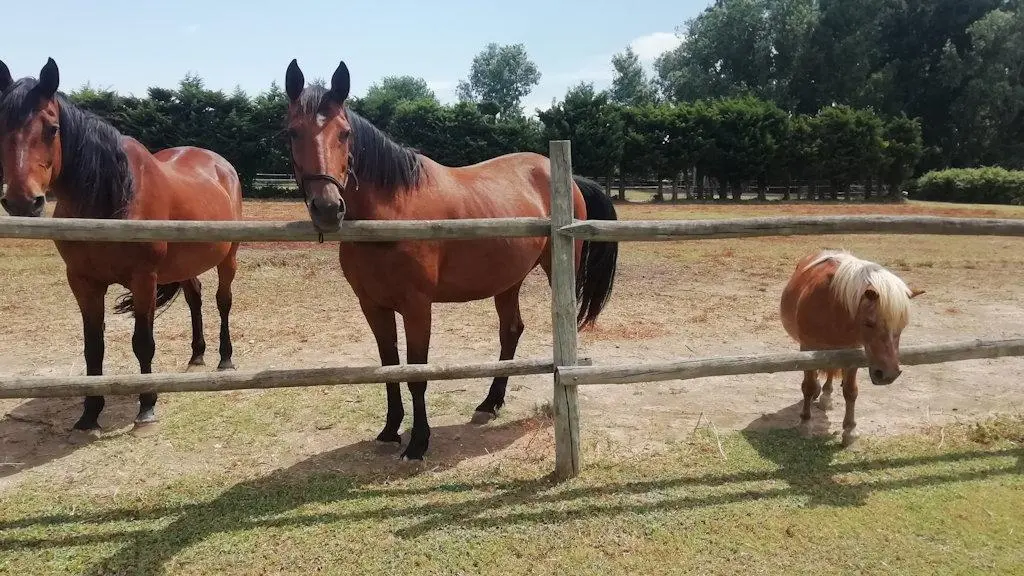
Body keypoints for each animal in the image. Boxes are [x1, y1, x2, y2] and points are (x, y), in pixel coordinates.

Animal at [0, 58, 244, 436]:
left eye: (52, 129)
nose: (23, 201)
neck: (112, 198)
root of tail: (221, 164)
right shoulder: (83, 282)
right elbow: (93, 347)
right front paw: (89, 414)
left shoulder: (143, 279)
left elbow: (142, 343)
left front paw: (146, 408)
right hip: (184, 265)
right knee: (195, 298)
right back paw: (196, 356)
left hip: (227, 257)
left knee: (223, 301)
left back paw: (224, 358)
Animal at [282, 59, 620, 460]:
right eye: (292, 132)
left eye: (345, 134)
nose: (328, 208)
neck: (392, 213)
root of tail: (564, 176)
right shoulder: (373, 306)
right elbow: (389, 367)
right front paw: (390, 430)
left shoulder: (417, 306)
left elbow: (416, 374)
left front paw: (418, 442)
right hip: (508, 280)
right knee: (511, 331)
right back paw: (490, 403)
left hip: (558, 270)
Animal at [780, 249, 924, 446]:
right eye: (869, 323)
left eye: (903, 325)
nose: (888, 375)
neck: (832, 305)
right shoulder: (807, 348)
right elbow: (808, 386)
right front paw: (805, 423)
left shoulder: (852, 352)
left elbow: (850, 391)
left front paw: (849, 431)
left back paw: (826, 396)